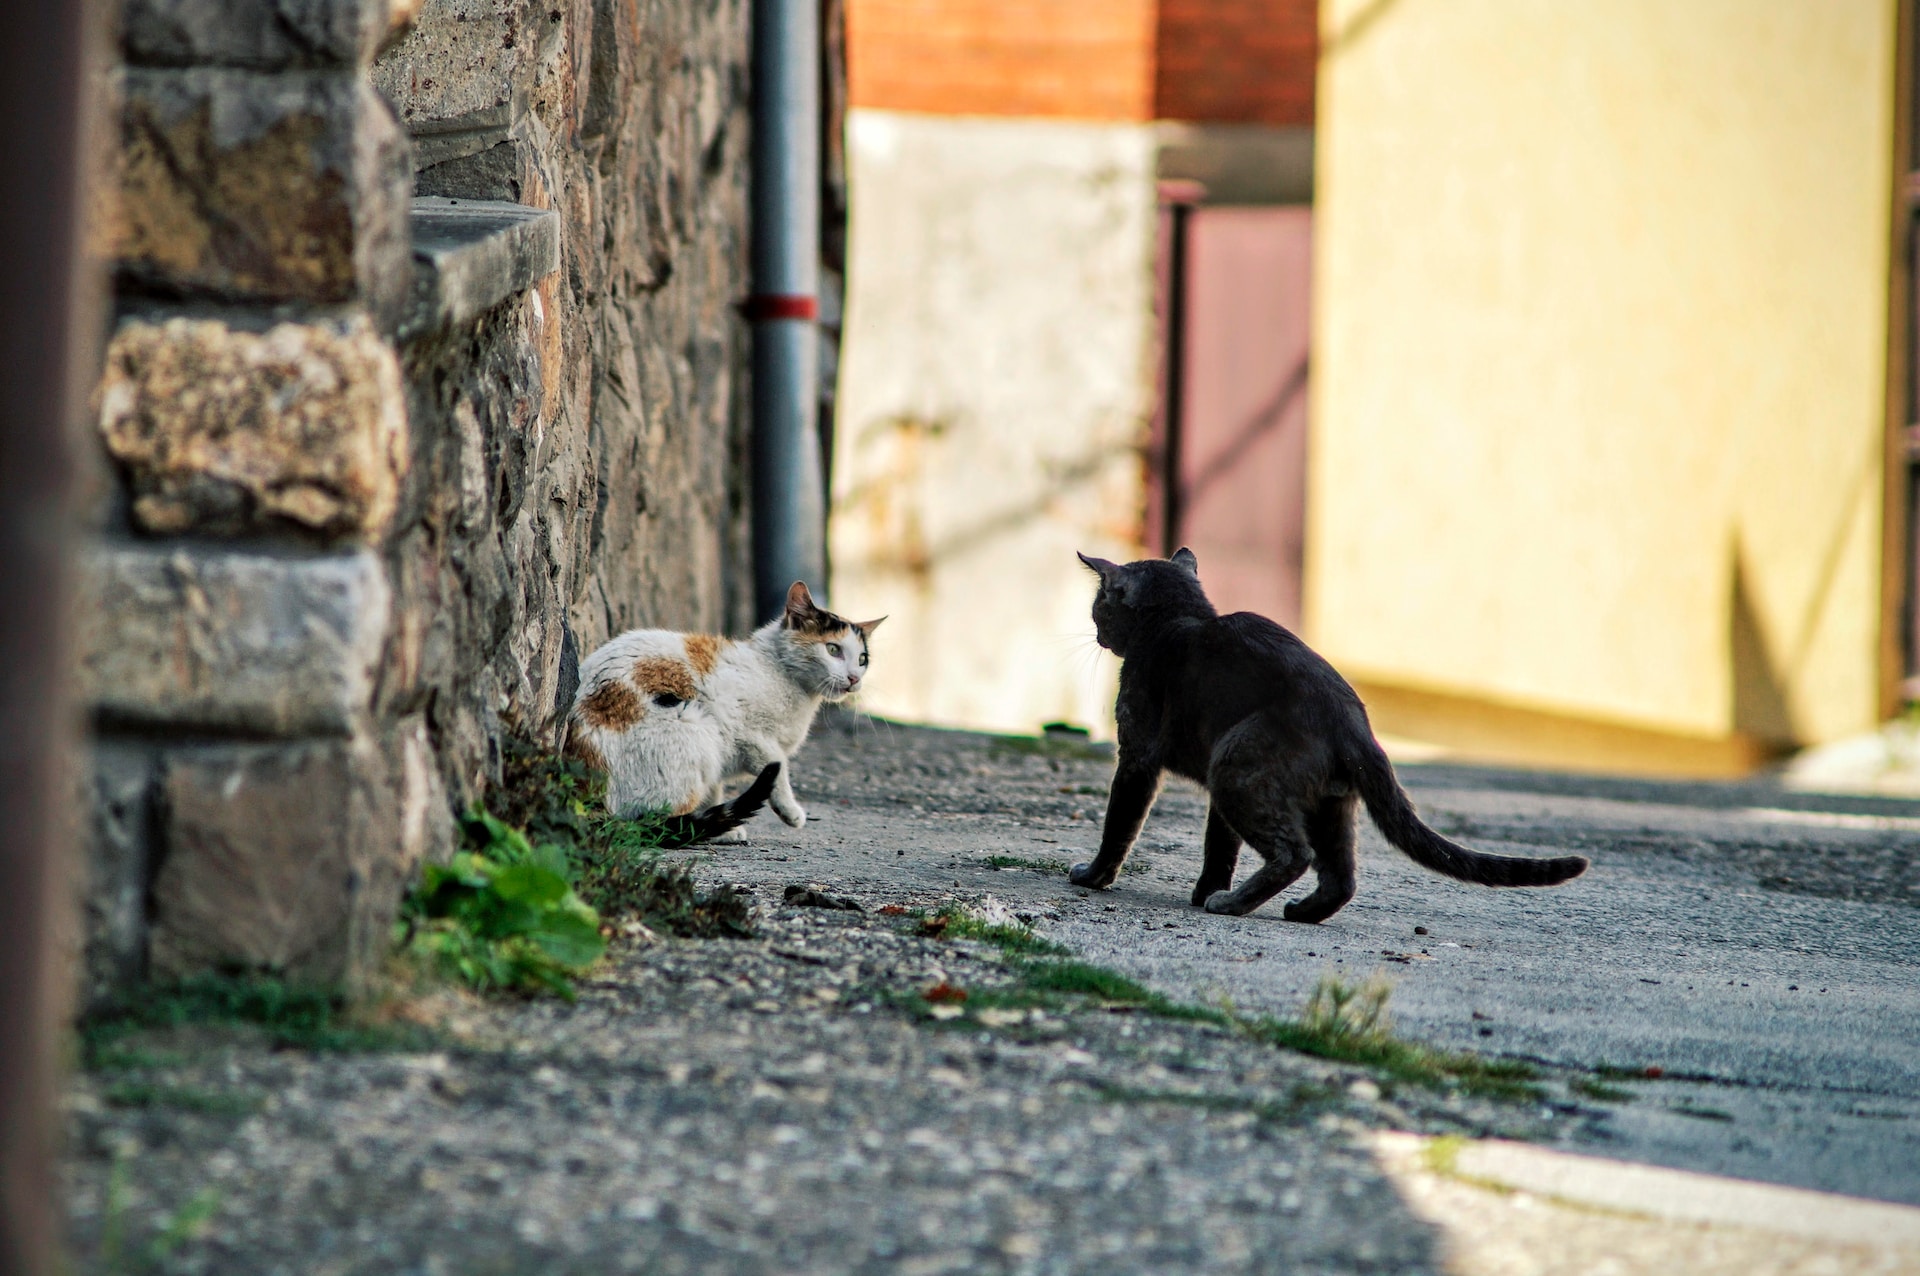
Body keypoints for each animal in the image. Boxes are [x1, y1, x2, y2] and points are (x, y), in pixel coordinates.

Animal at [560, 583, 879, 832]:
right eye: (833, 649)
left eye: (862, 659)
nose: (854, 678)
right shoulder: (752, 735)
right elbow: (778, 770)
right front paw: (790, 811)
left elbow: (714, 788)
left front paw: (723, 824)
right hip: (696, 727)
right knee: (649, 820)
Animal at [1067, 544, 1589, 917]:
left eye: (1097, 606)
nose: (1096, 632)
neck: (1178, 619)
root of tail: (1353, 722)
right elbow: (1221, 845)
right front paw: (1205, 890)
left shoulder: (1136, 756)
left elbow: (1120, 823)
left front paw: (1094, 877)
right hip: (1327, 803)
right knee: (1341, 876)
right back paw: (1300, 911)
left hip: (1236, 766)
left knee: (1294, 854)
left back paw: (1234, 905)